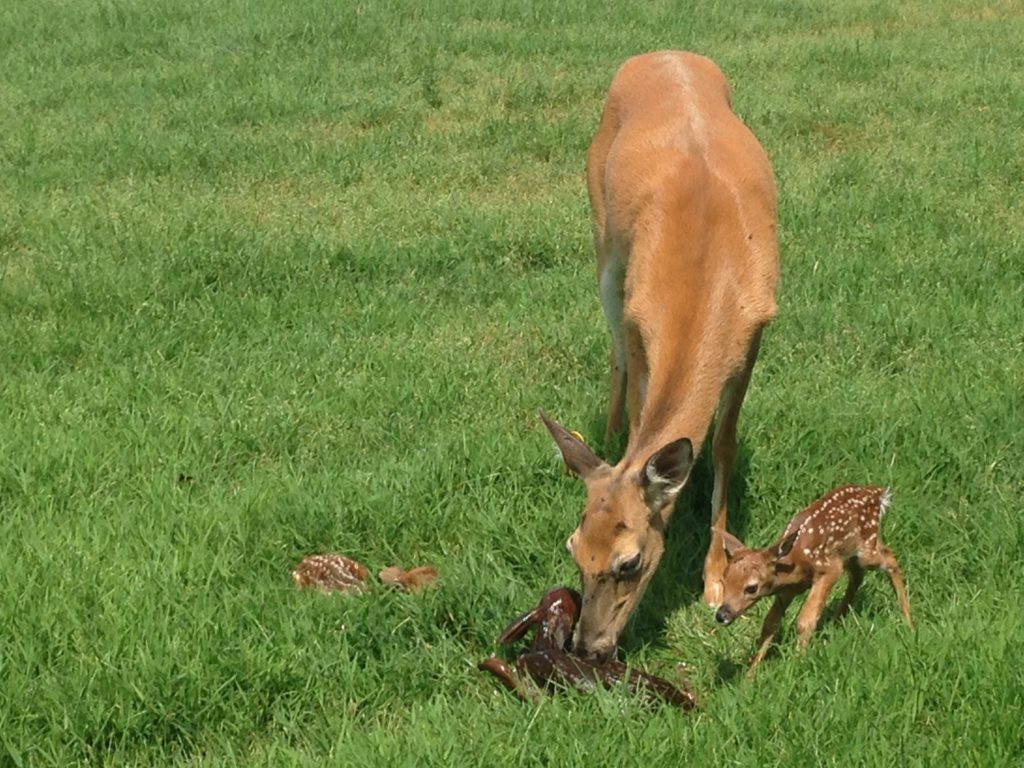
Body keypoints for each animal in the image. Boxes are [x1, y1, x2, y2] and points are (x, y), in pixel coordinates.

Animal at [544, 51, 774, 663]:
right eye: (573, 549)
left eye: (630, 562)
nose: (588, 647)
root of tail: (664, 54)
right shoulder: (640, 317)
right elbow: (639, 412)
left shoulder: (756, 331)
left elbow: (722, 444)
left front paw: (713, 574)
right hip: (605, 240)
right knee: (615, 352)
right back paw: (604, 434)